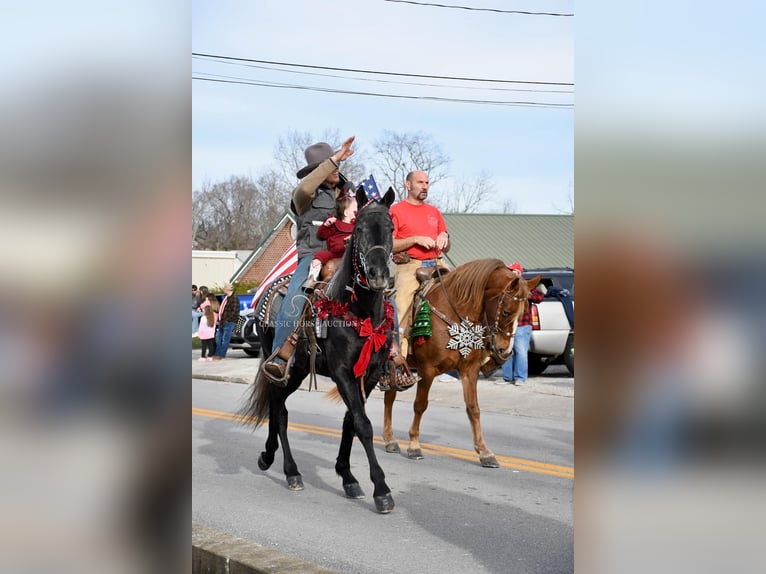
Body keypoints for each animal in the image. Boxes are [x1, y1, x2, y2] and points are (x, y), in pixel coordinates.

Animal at [240, 187, 400, 516]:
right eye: (360, 229)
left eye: (391, 228)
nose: (378, 275)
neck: (359, 312)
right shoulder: (342, 374)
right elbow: (363, 425)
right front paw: (381, 490)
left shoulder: (369, 375)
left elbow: (351, 422)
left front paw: (348, 476)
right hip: (284, 368)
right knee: (280, 411)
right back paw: (290, 471)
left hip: (300, 370)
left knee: (277, 408)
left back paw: (269, 456)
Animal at [382, 260, 540, 468]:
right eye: (506, 312)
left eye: (523, 314)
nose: (505, 351)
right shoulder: (427, 370)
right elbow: (420, 405)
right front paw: (414, 445)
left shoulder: (469, 370)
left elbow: (473, 408)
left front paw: (484, 452)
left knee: (389, 397)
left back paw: (389, 440)